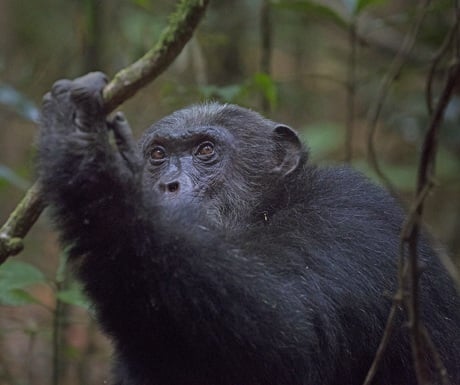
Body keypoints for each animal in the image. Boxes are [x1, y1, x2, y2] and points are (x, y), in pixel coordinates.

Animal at [37, 73, 458, 384]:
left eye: (206, 150)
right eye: (158, 154)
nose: (167, 183)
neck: (271, 208)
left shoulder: (348, 224)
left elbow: (286, 334)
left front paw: (91, 156)